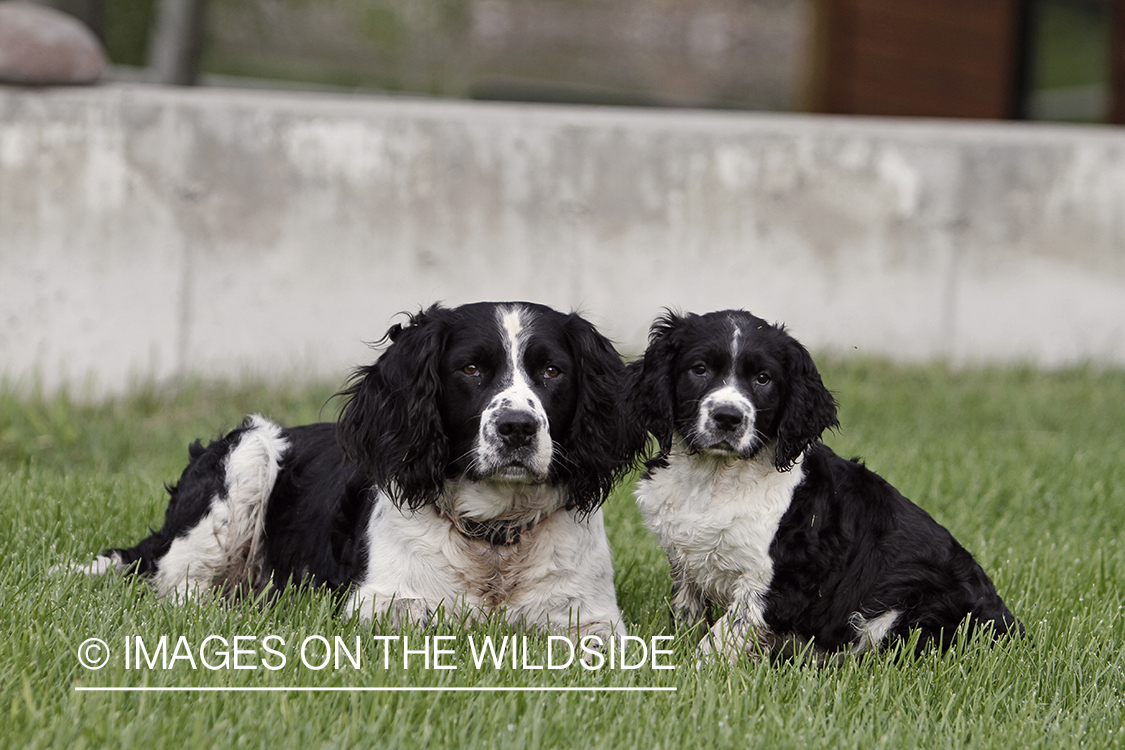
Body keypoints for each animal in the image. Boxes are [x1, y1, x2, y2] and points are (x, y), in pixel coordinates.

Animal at [77, 301, 643, 643]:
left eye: (551, 371)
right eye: (471, 369)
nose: (517, 428)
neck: (495, 536)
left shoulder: (592, 615)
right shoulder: (374, 604)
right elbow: (425, 614)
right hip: (248, 451)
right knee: (178, 584)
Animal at [630, 308, 1026, 661]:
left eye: (763, 379)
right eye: (699, 369)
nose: (728, 417)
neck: (715, 478)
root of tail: (1016, 634)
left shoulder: (775, 579)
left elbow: (724, 635)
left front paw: (697, 670)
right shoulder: (685, 559)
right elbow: (688, 614)